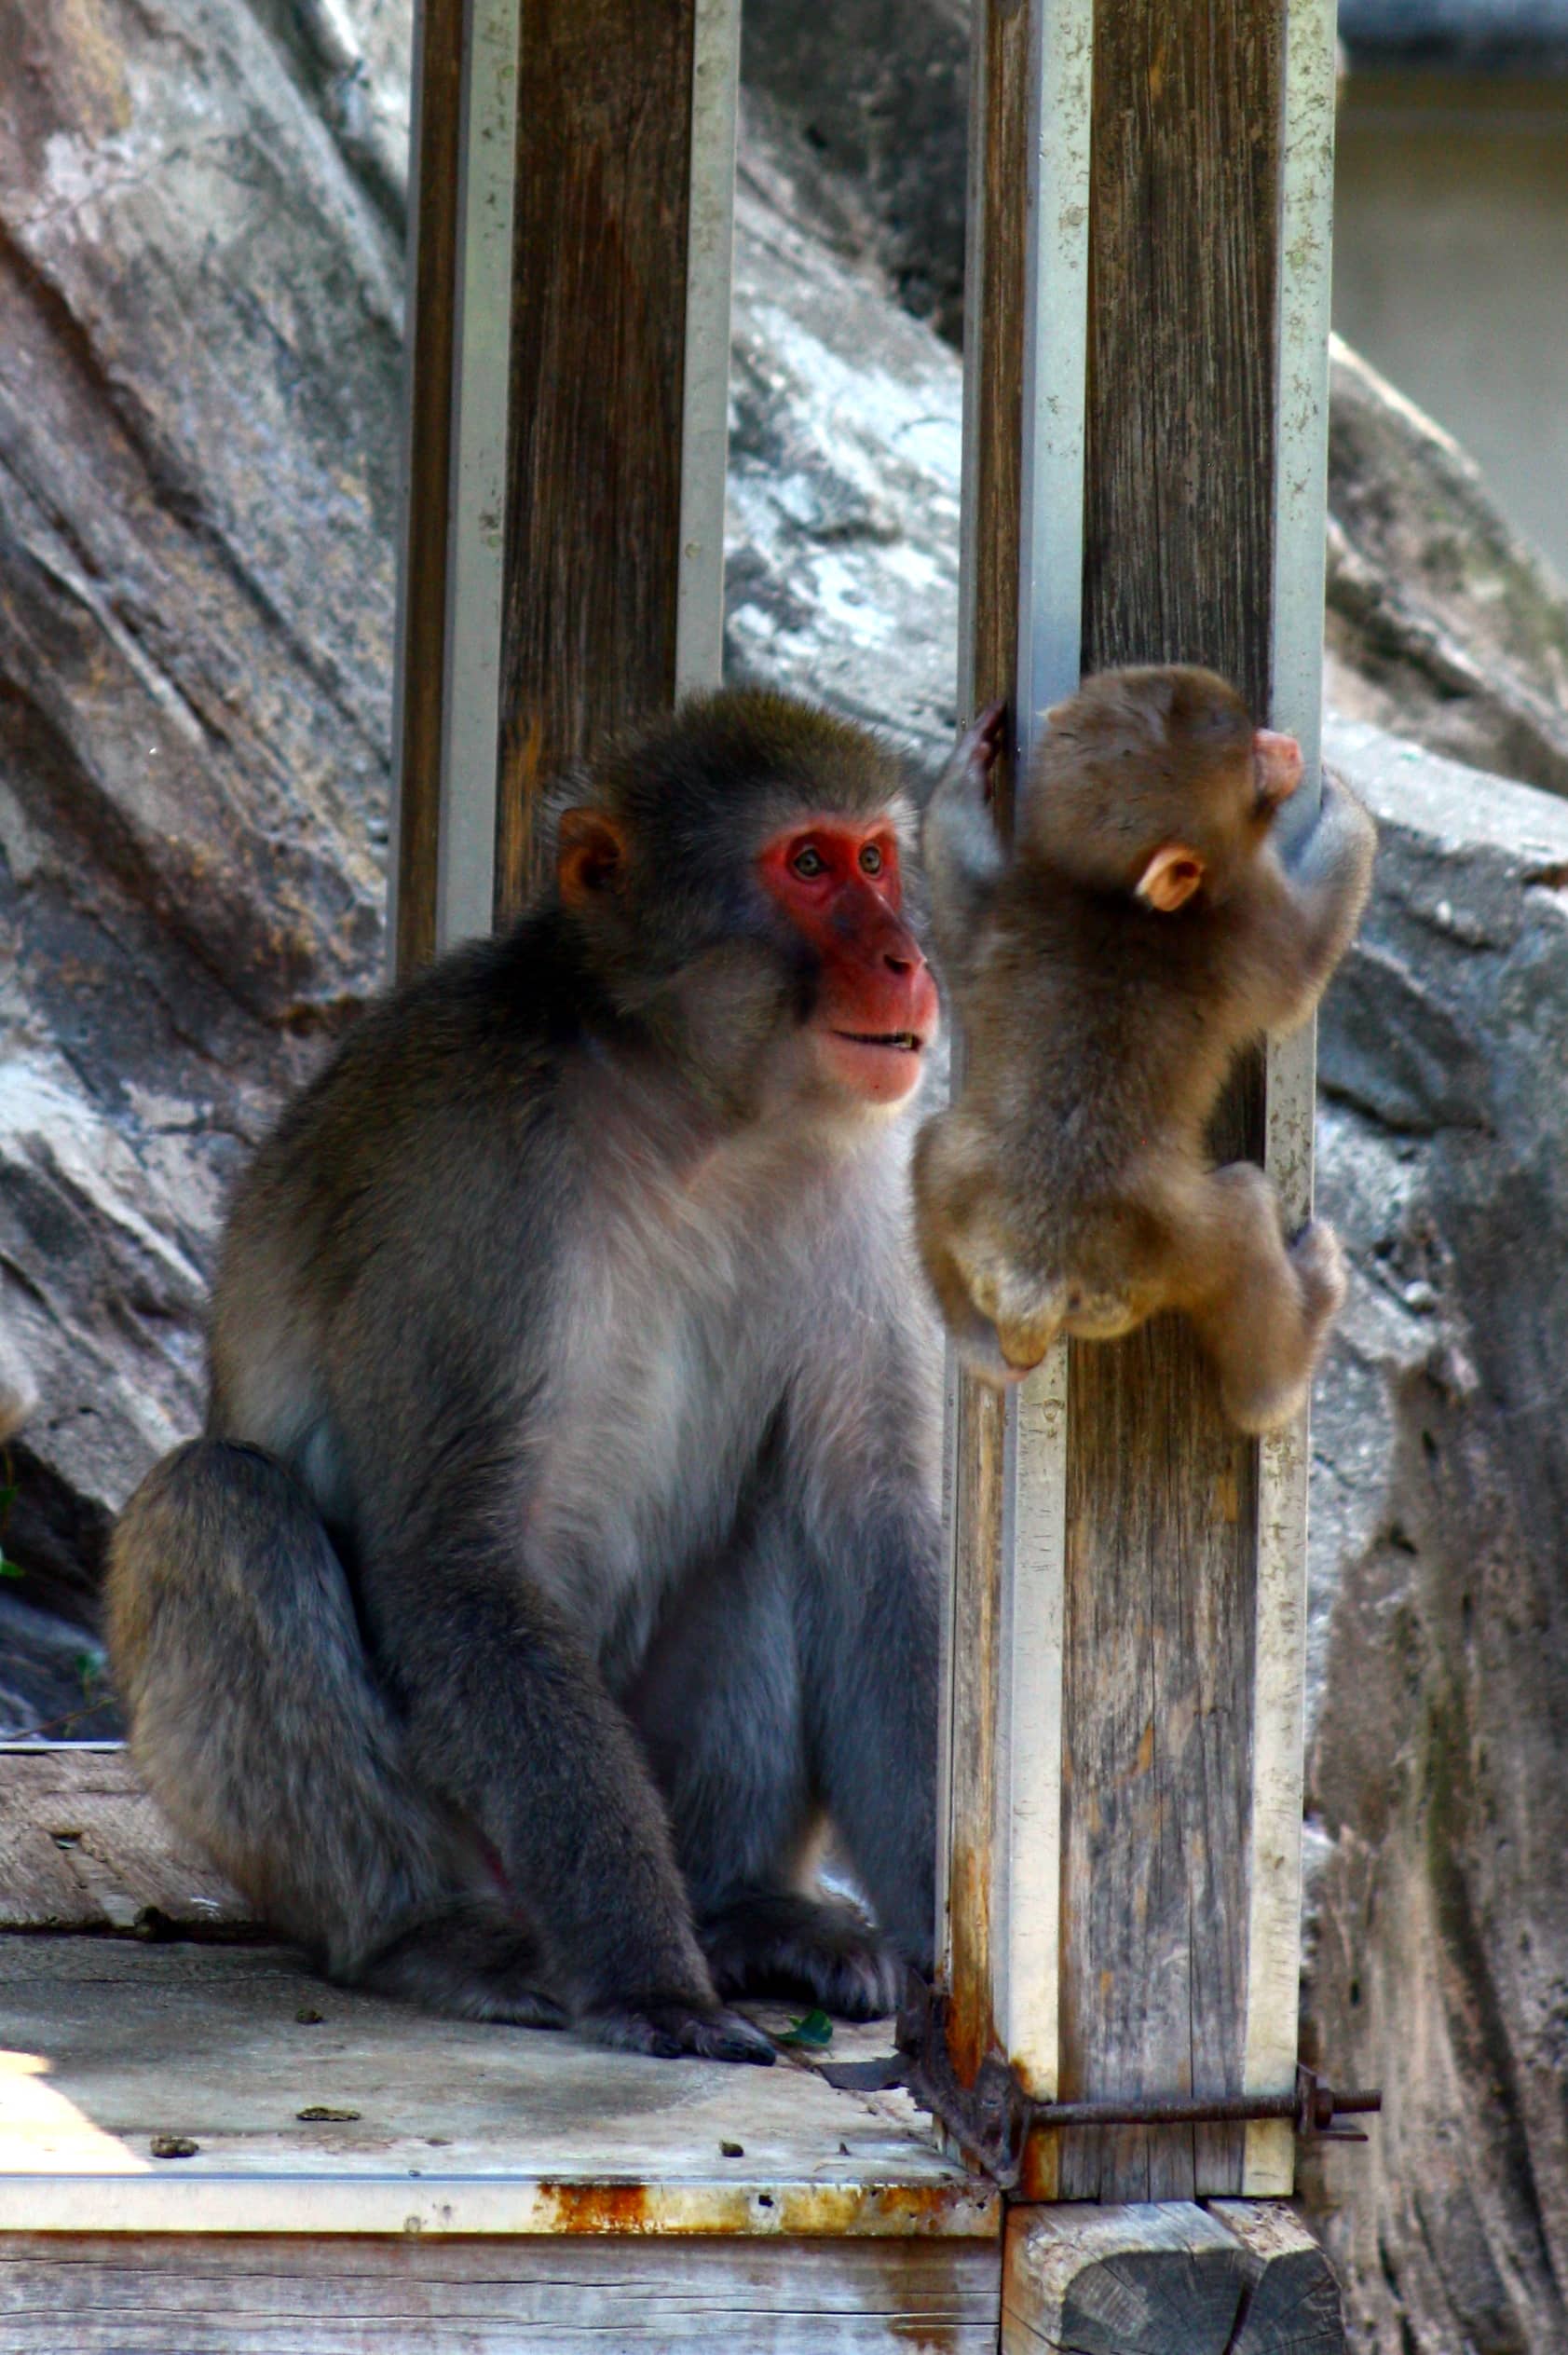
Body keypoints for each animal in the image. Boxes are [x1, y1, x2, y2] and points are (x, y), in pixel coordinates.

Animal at [106, 689, 945, 2065]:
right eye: (809, 867)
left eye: (876, 857)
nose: (906, 957)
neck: (691, 1105)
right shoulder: (475, 1178)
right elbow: (458, 1560)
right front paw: (649, 1977)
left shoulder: (867, 1178)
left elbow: (872, 1521)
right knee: (220, 1501)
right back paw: (432, 1931)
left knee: (785, 1515)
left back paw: (742, 1908)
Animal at [913, 666, 1376, 1434]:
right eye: (1251, 764)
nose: (1283, 747)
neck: (1108, 897)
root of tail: (1040, 1280)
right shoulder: (1243, 922)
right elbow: (1306, 960)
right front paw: (1350, 805)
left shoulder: (1006, 899)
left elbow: (952, 896)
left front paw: (965, 768)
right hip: (1177, 1246)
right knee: (1244, 1221)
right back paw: (1286, 1364)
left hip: (959, 1185)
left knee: (928, 1149)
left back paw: (976, 1347)